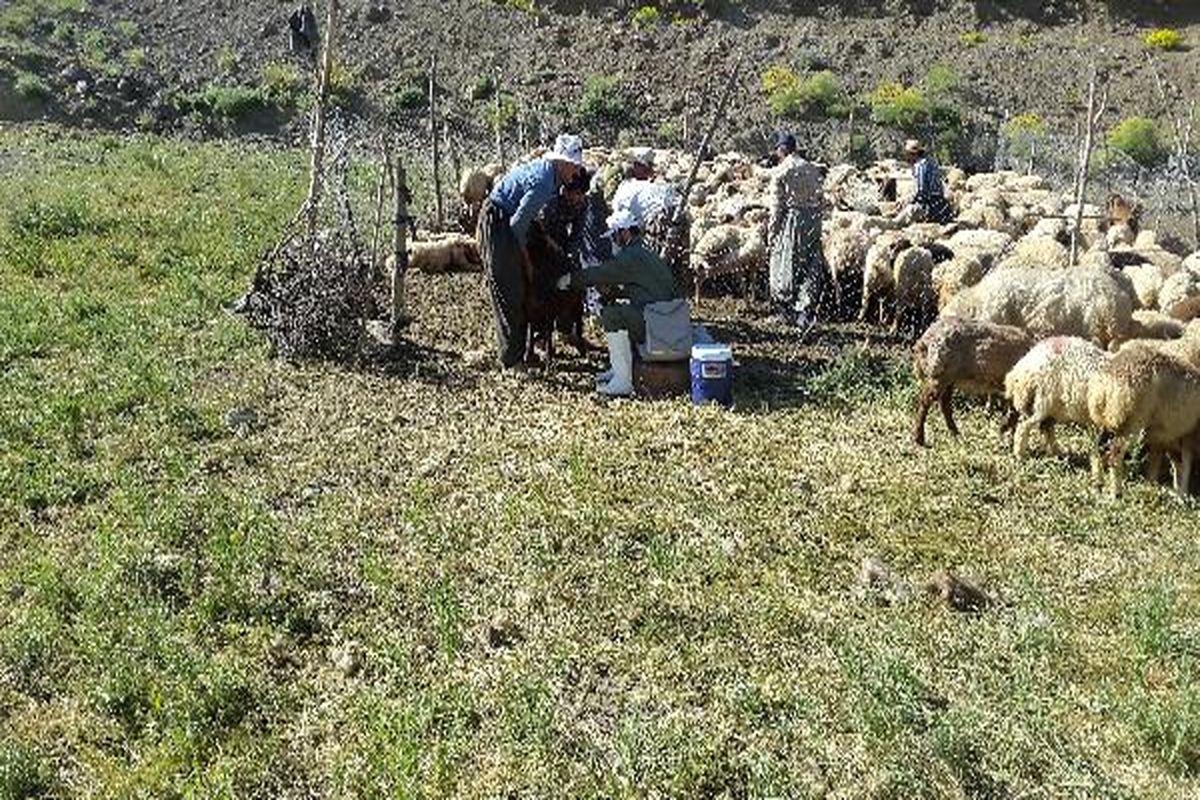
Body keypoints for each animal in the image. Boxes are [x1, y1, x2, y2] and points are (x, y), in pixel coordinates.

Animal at [907, 316, 1032, 448]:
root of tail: (924, 340)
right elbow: (1014, 412)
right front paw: (1005, 429)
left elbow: (1015, 412)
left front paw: (1010, 436)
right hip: (940, 373)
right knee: (926, 400)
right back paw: (919, 438)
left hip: (949, 378)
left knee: (944, 403)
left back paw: (955, 432)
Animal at [1003, 335, 1104, 465]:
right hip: (1041, 402)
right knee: (1024, 426)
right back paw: (1020, 456)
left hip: (1048, 407)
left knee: (1046, 429)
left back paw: (1057, 453)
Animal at [1084, 347, 1200, 496]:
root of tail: (1103, 387)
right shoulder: (1186, 436)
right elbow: (1184, 465)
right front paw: (1182, 494)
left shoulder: (1167, 438)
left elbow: (1169, 464)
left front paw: (1161, 487)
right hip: (1131, 424)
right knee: (1115, 456)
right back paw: (1116, 493)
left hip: (1106, 423)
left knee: (1096, 451)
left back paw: (1096, 486)